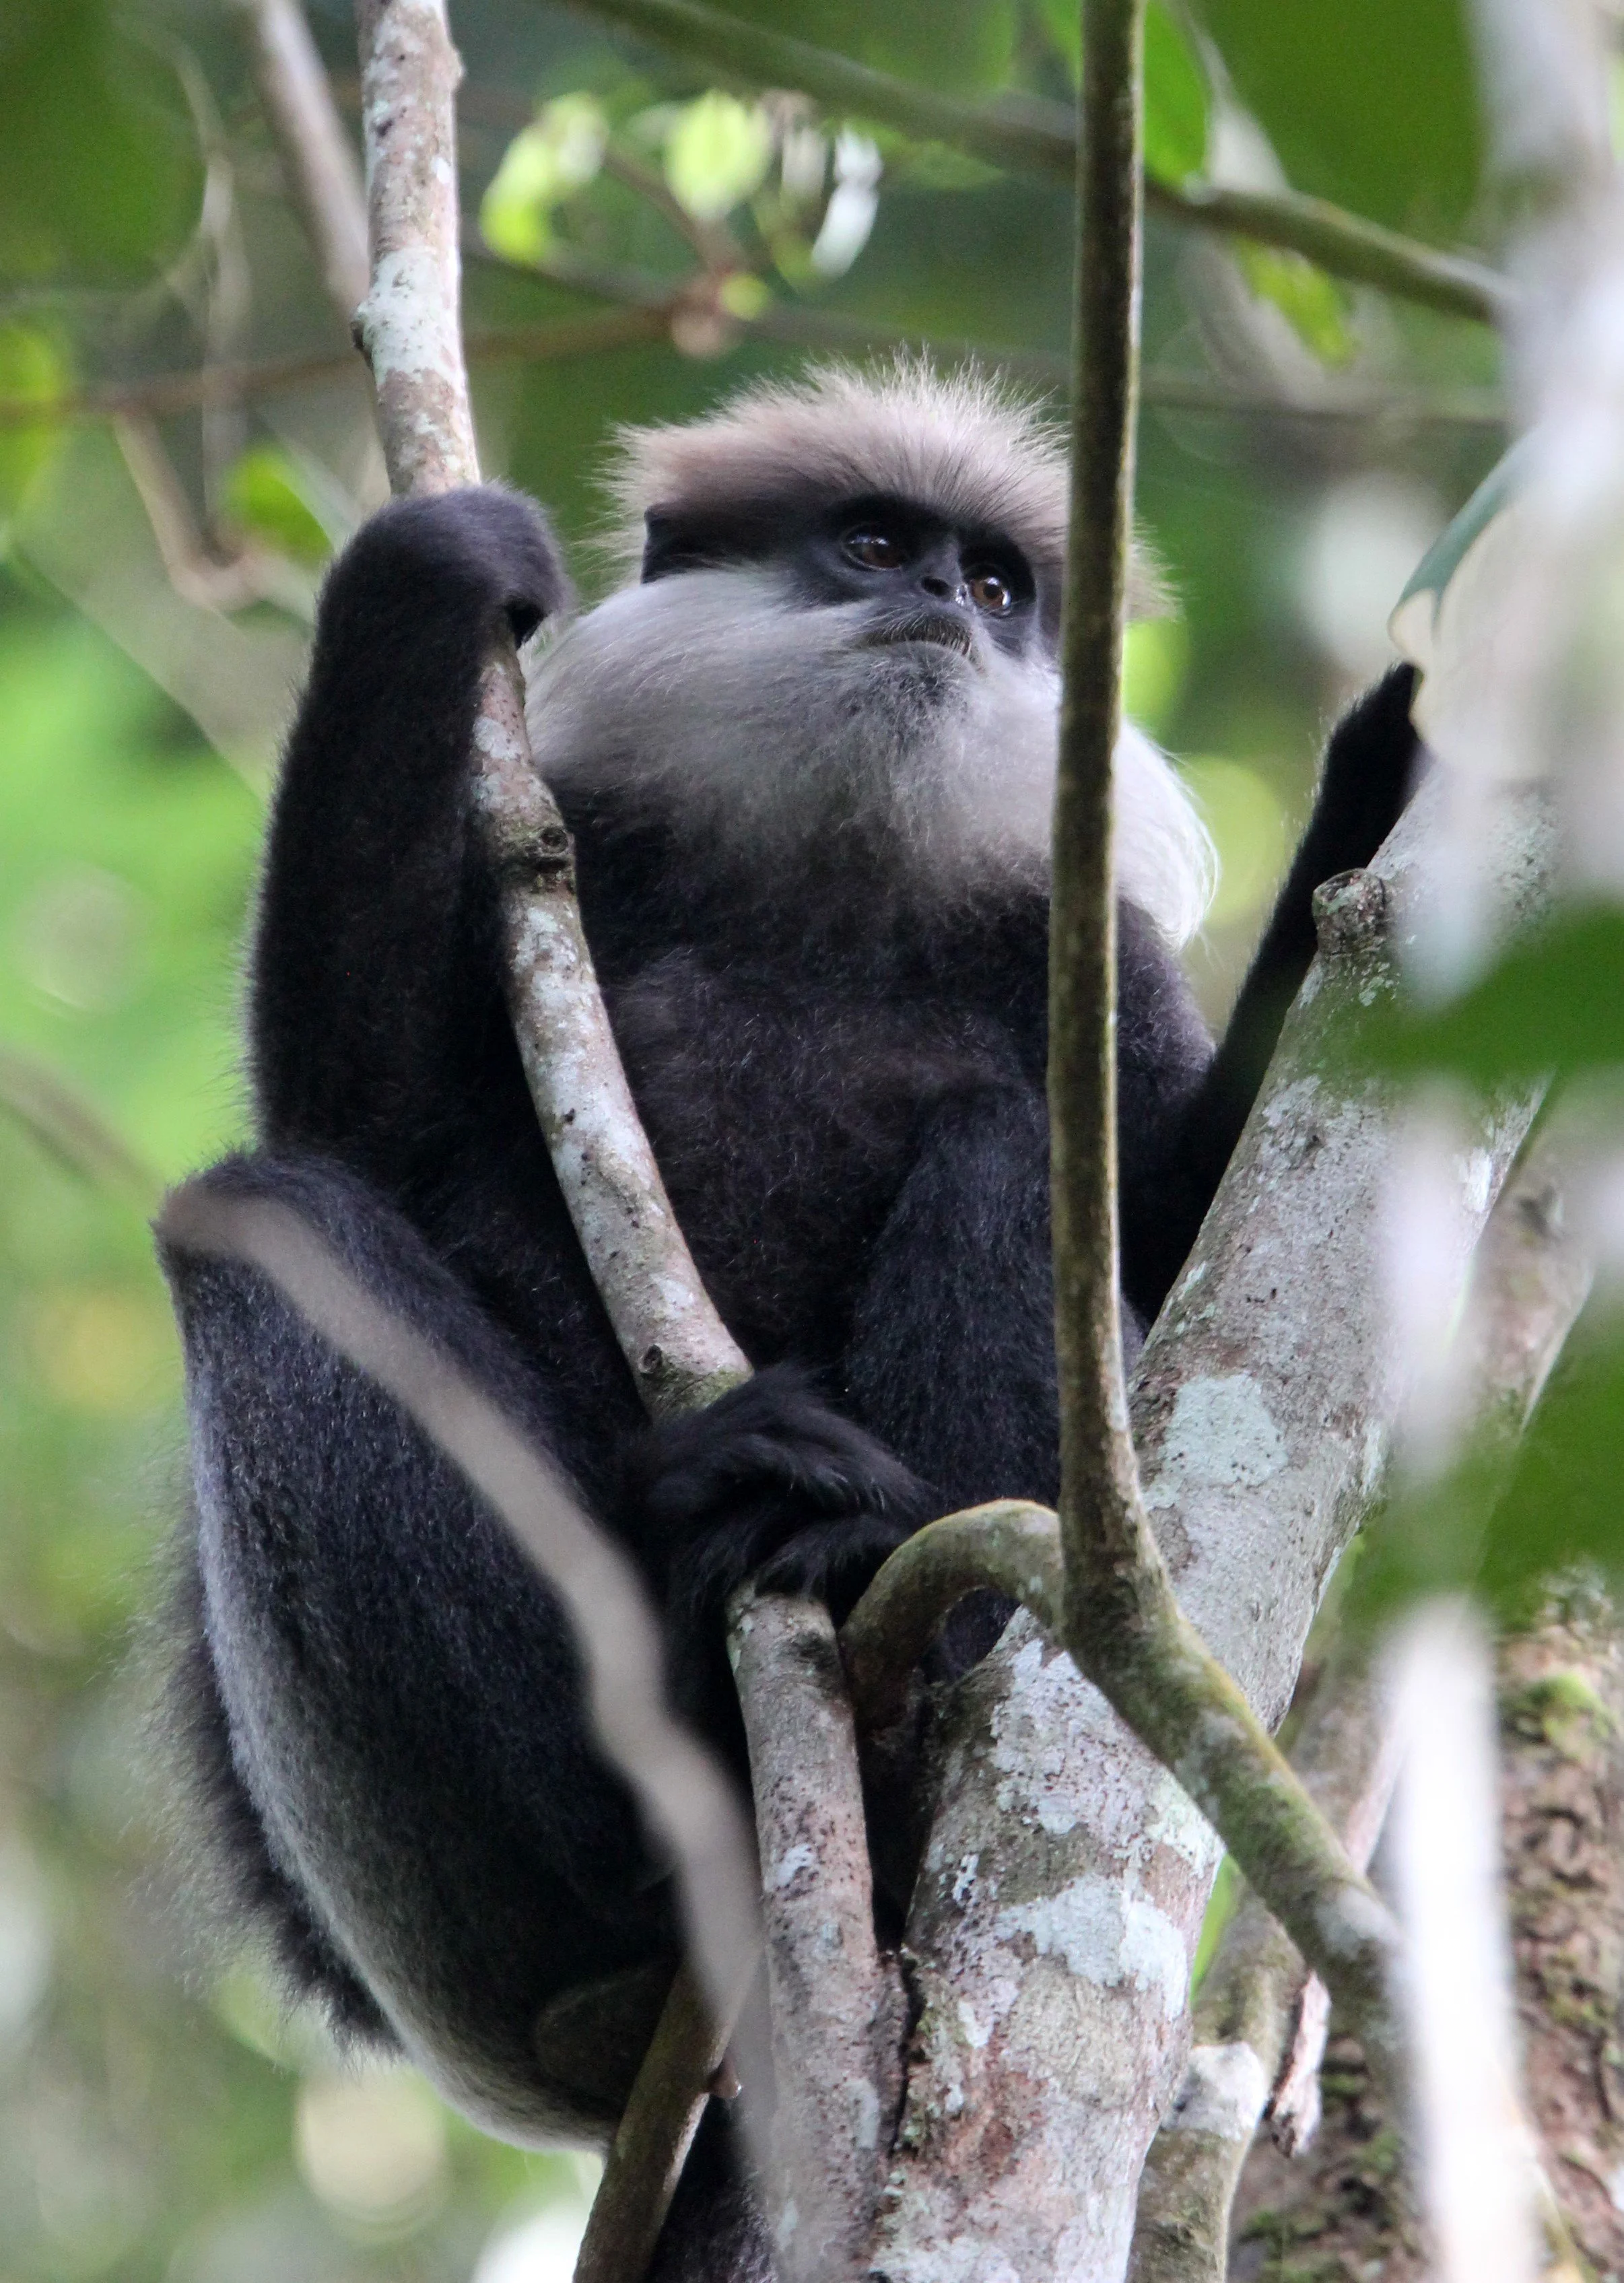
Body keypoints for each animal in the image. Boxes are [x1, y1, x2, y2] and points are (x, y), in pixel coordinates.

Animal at [155, 361, 1418, 2270]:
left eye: (998, 586)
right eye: (876, 545)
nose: (940, 602)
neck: (829, 888)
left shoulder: (1080, 947)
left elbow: (1197, 1217)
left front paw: (1365, 814)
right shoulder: (580, 855)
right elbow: (356, 1125)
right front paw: (426, 583)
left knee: (1002, 1142)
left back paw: (865, 1636)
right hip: (453, 1942)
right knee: (262, 1227)